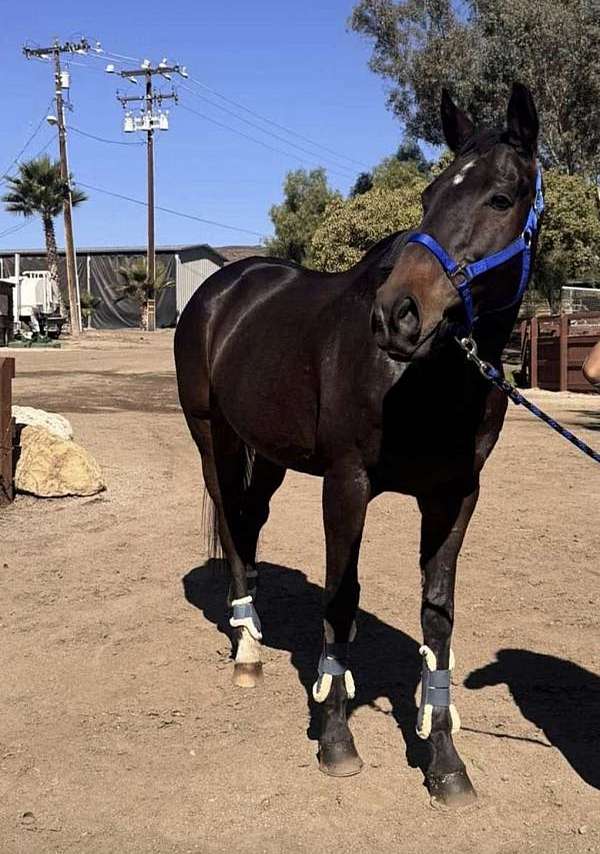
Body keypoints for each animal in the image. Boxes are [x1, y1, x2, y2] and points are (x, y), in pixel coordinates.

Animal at [174, 82, 542, 807]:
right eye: (429, 195)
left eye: (500, 198)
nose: (397, 315)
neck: (426, 379)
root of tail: (223, 286)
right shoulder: (347, 484)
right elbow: (341, 599)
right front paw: (336, 739)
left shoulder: (454, 496)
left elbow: (437, 618)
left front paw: (446, 761)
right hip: (214, 439)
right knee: (230, 524)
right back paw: (247, 654)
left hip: (269, 455)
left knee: (249, 525)